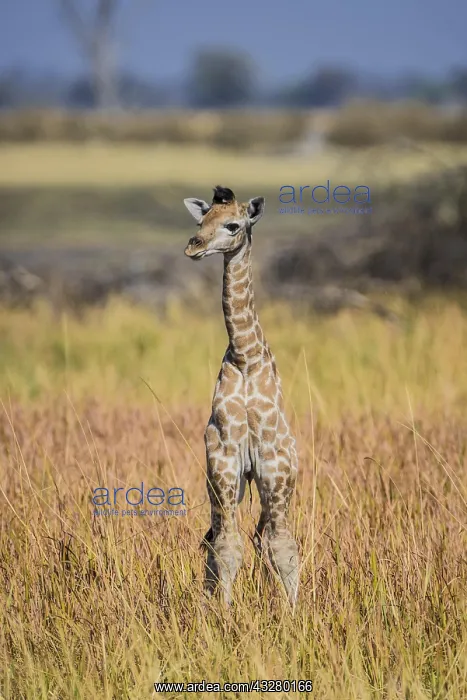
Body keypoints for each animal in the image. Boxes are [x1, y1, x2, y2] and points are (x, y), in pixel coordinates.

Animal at [184, 185, 300, 606]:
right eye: (201, 221)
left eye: (233, 225)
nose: (194, 246)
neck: (245, 356)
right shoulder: (223, 456)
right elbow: (227, 548)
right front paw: (223, 613)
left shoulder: (273, 463)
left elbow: (282, 548)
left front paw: (293, 615)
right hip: (225, 485)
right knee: (217, 538)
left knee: (269, 539)